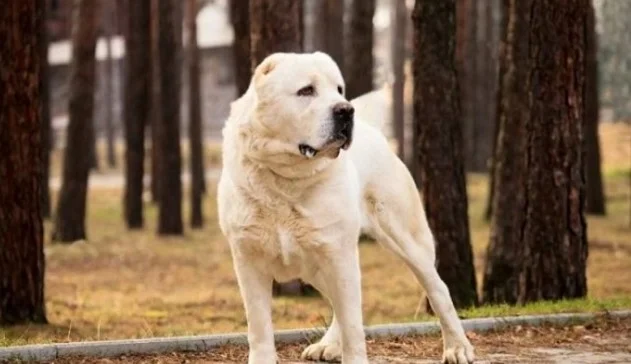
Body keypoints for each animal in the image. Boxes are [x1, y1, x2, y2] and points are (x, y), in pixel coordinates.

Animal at [217, 52, 474, 364]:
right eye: (306, 91)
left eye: (339, 89)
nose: (345, 110)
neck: (287, 180)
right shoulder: (249, 261)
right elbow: (259, 328)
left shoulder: (338, 255)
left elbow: (353, 325)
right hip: (318, 265)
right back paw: (327, 345)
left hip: (405, 239)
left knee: (438, 289)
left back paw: (458, 347)